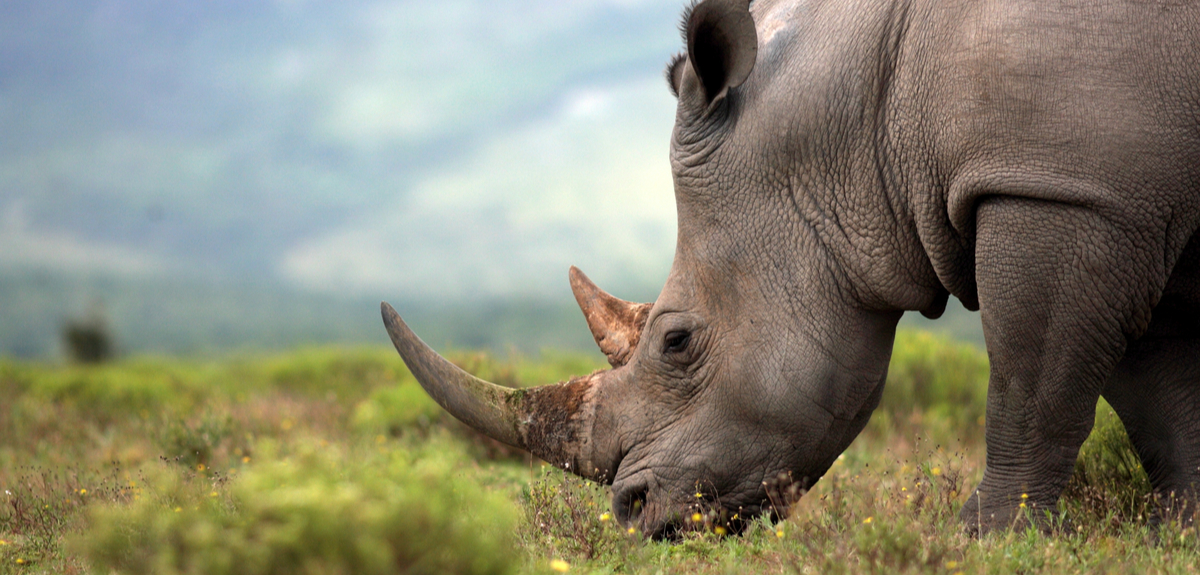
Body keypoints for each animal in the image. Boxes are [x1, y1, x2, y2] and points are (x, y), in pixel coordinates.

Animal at [381, 0, 1200, 535]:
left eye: (676, 342)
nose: (631, 512)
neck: (863, 116)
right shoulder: (1119, 199)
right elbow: (1158, 391)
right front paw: (1180, 530)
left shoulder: (1061, 188)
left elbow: (1032, 381)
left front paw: (986, 541)